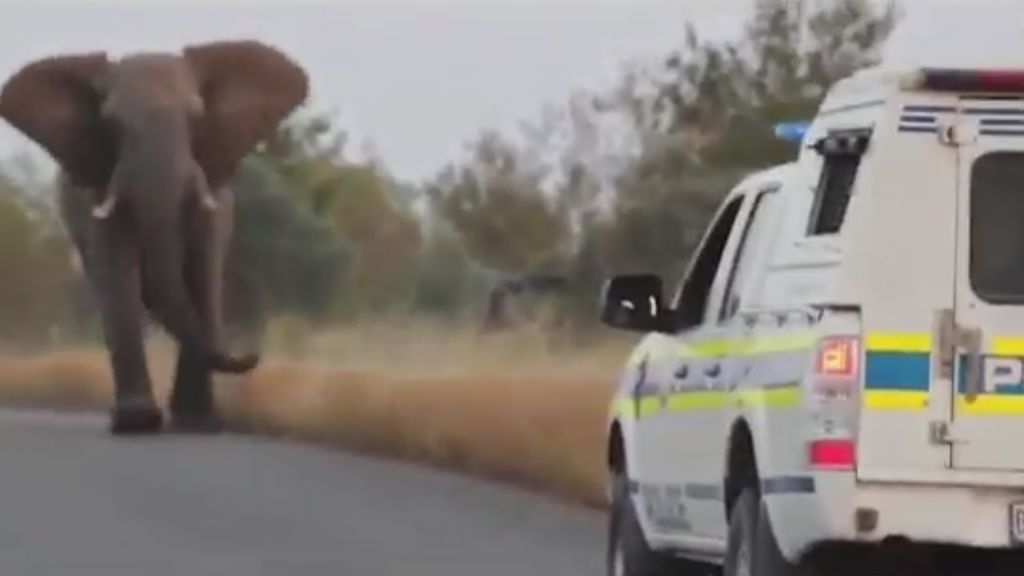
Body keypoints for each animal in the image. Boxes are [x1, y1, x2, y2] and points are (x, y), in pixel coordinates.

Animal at [0, 40, 307, 432]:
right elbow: (119, 272)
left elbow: (202, 271)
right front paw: (138, 422)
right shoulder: (99, 191)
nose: (253, 355)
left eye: (195, 116)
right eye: (110, 124)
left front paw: (199, 424)